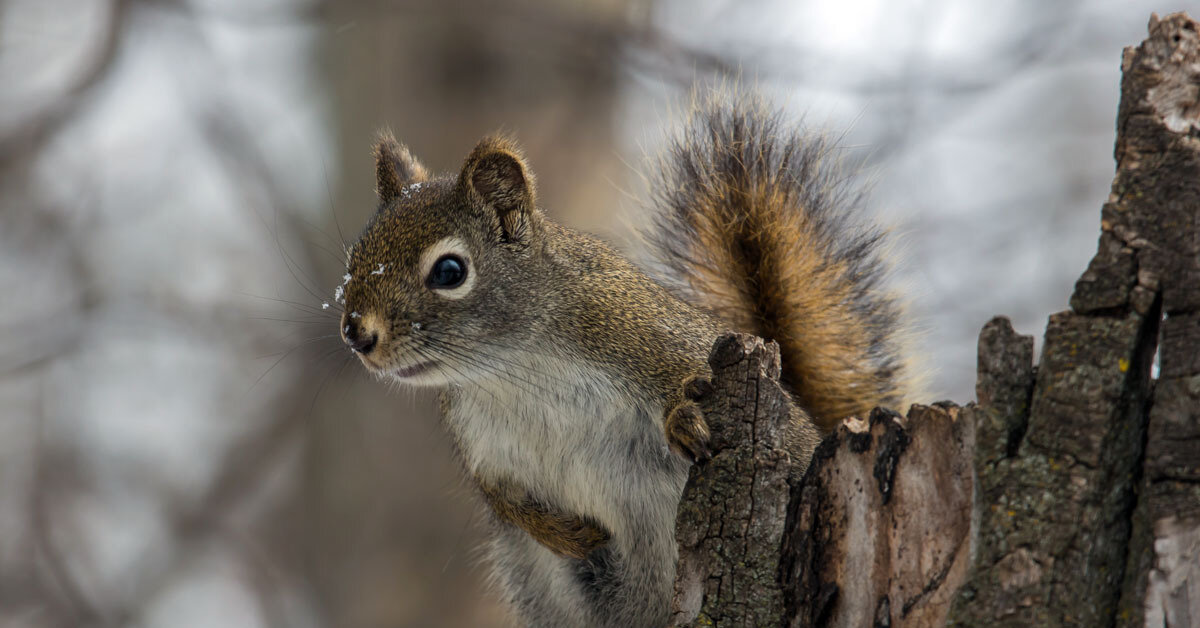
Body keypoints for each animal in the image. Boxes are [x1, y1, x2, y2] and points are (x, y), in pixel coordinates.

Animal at [338, 90, 916, 624]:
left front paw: (686, 417)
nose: (355, 333)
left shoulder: (643, 336)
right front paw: (565, 534)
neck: (514, 368)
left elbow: (684, 379)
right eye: (355, 257)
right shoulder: (484, 447)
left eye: (450, 271)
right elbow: (503, 500)